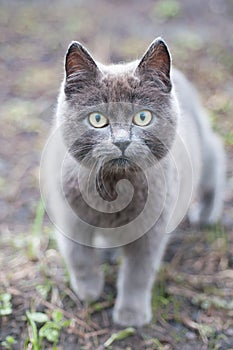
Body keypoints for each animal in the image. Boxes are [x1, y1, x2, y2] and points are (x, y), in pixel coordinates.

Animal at [42, 37, 226, 326]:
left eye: (143, 117)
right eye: (97, 119)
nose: (121, 141)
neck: (115, 187)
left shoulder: (153, 229)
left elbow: (138, 272)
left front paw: (131, 314)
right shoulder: (69, 217)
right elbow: (78, 256)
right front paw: (89, 291)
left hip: (203, 154)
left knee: (215, 155)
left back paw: (207, 214)